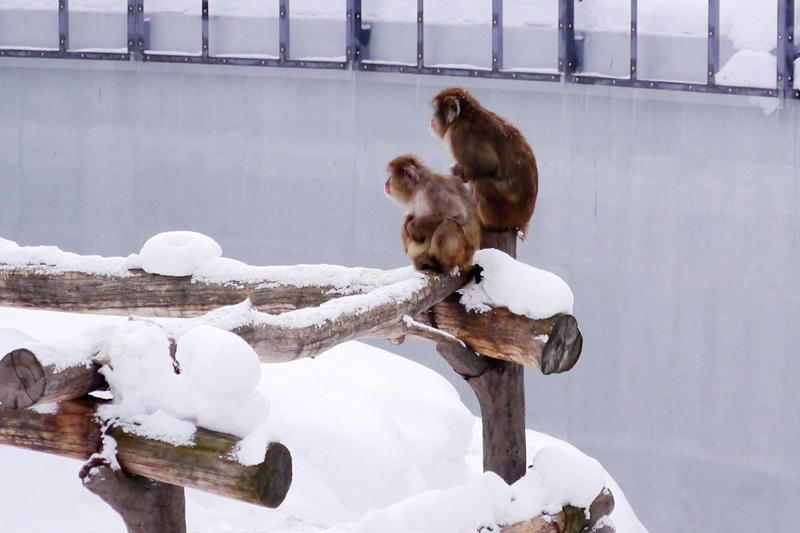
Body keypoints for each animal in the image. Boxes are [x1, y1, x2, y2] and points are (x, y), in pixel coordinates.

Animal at [432, 88, 536, 238]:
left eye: (436, 110)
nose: (432, 120)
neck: (462, 118)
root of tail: (523, 221)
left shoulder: (460, 135)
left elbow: (487, 164)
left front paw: (460, 173)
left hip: (508, 209)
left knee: (482, 184)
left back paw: (487, 224)